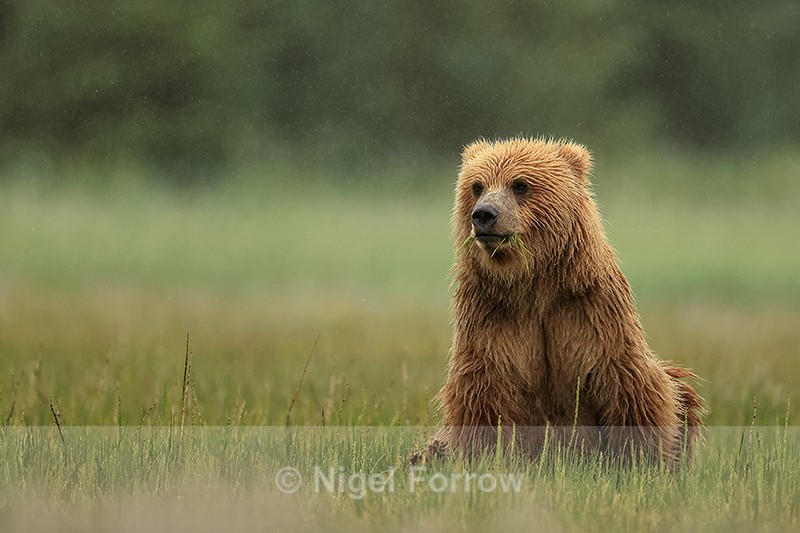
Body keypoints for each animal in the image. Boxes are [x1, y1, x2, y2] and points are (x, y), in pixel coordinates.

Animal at [412, 137, 704, 467]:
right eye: (477, 186)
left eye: (520, 185)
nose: (484, 214)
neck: (534, 284)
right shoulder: (492, 315)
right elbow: (484, 392)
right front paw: (485, 457)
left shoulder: (588, 312)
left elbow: (627, 385)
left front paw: (641, 461)